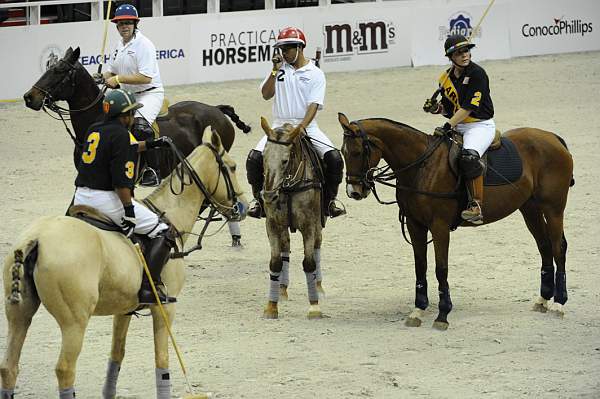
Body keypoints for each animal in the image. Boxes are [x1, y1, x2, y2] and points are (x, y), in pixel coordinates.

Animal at [258, 117, 324, 320]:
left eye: (285, 160)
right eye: (263, 157)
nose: (269, 196)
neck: (287, 187)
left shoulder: (309, 225)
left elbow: (309, 263)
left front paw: (314, 307)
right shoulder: (272, 224)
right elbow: (275, 262)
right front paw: (271, 307)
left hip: (318, 222)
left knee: (317, 245)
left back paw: (318, 285)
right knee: (285, 246)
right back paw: (282, 288)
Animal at [340, 113, 576, 332]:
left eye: (357, 152)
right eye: (343, 152)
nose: (354, 191)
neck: (421, 166)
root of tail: (553, 138)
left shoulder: (439, 226)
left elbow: (441, 268)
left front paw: (442, 315)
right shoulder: (415, 224)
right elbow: (420, 266)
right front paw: (418, 310)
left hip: (553, 208)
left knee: (558, 247)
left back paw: (559, 304)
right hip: (530, 208)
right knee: (544, 246)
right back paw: (543, 300)